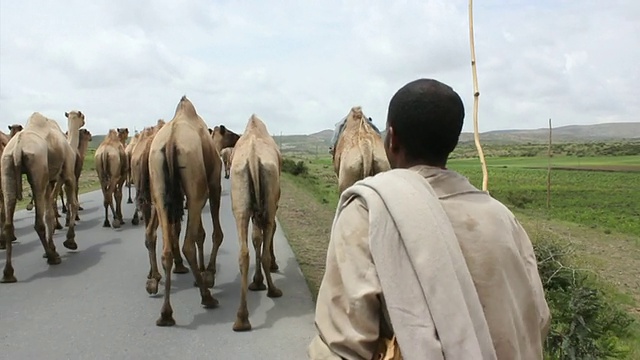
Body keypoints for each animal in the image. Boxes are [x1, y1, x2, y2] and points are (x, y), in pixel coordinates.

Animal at [0, 111, 79, 282]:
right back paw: (52, 258)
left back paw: (8, 273)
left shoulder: (50, 181)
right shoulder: (68, 172)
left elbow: (49, 214)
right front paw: (70, 241)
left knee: (9, 222)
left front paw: (54, 247)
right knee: (38, 223)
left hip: (6, 166)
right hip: (37, 167)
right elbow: (72, 203)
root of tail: (18, 148)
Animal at [149, 95, 229, 326]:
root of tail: (171, 142)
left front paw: (202, 273)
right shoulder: (213, 185)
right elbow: (214, 233)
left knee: (166, 248)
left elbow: (199, 233)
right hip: (196, 188)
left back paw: (166, 313)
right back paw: (207, 297)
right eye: (229, 132)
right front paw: (208, 273)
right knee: (187, 246)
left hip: (159, 191)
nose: (238, 136)